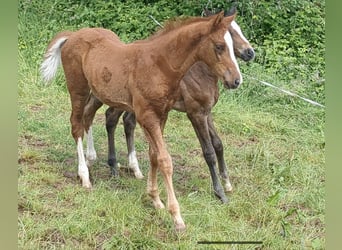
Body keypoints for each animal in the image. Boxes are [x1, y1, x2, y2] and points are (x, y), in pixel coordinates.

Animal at [40, 11, 240, 230]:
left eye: (232, 45)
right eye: (219, 46)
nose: (236, 80)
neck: (159, 65)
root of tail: (73, 35)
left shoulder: (162, 114)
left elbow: (154, 155)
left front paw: (155, 199)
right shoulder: (150, 116)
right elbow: (165, 160)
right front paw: (176, 216)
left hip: (98, 93)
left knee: (87, 117)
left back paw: (91, 157)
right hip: (78, 88)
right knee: (76, 125)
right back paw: (84, 175)